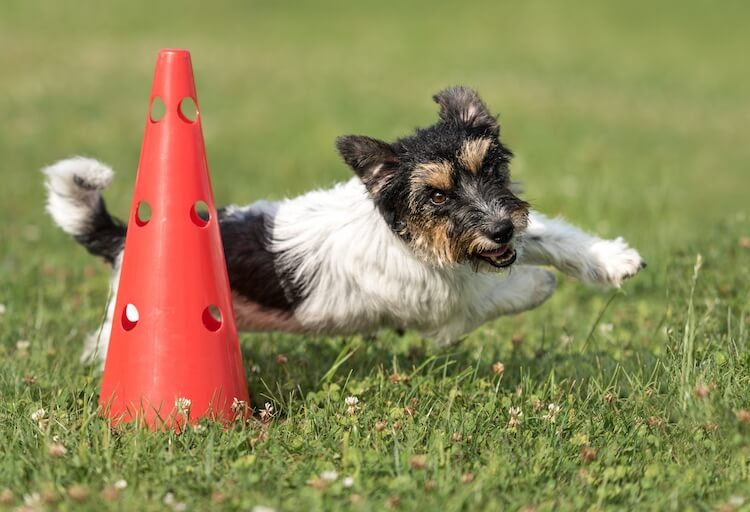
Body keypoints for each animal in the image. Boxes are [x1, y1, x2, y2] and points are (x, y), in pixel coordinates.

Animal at [45, 86, 648, 364]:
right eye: (435, 195)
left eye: (491, 168)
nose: (499, 231)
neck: (403, 233)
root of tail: (123, 238)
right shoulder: (440, 310)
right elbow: (498, 293)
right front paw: (537, 282)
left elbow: (548, 233)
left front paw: (611, 259)